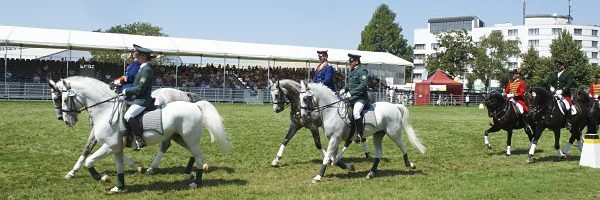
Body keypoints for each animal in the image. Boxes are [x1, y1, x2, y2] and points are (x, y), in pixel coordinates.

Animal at [55, 76, 231, 192]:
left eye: (64, 99)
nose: (66, 120)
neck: (105, 110)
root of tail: (194, 105)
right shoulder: (116, 148)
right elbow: (117, 166)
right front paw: (119, 186)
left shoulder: (109, 146)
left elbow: (89, 161)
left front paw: (102, 177)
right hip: (180, 138)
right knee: (192, 154)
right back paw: (188, 172)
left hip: (190, 139)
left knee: (196, 155)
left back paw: (196, 182)